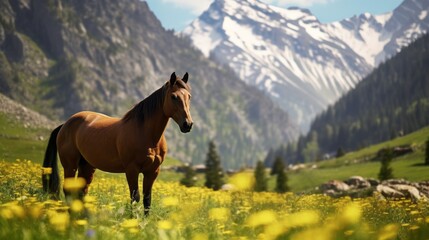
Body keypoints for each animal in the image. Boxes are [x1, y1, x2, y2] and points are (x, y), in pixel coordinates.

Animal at [41, 72, 192, 215]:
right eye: (174, 96)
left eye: (189, 96)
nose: (188, 124)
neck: (146, 133)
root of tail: (65, 124)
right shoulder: (132, 170)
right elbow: (135, 197)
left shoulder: (152, 171)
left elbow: (147, 199)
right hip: (70, 165)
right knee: (68, 191)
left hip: (87, 166)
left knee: (82, 192)